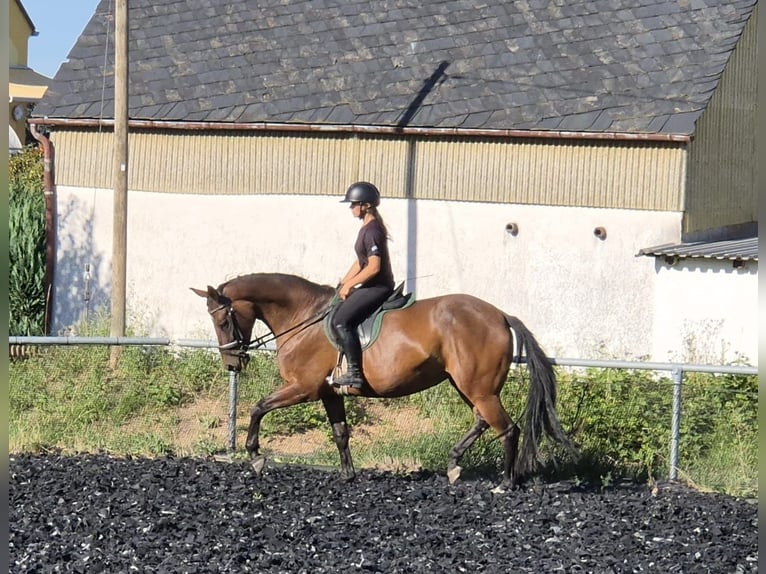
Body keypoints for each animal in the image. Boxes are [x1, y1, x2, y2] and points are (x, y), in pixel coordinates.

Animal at [192, 272, 577, 490]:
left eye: (223, 321)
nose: (232, 362)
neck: (304, 317)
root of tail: (499, 315)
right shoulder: (328, 392)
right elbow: (340, 433)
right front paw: (348, 475)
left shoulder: (303, 388)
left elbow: (258, 408)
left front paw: (255, 457)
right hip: (467, 385)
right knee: (483, 421)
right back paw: (454, 465)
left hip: (478, 388)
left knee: (507, 428)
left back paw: (505, 483)